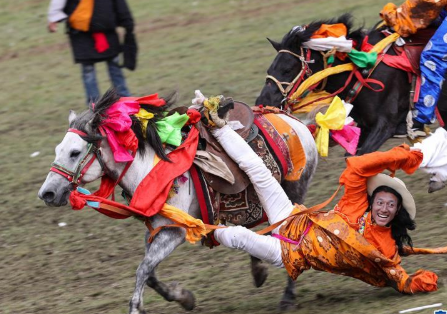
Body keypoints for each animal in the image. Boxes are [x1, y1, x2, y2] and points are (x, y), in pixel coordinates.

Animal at [37, 89, 318, 312]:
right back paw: (258, 271)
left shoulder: (175, 233)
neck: (150, 171)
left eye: (75, 152)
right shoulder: (156, 229)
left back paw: (286, 296)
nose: (47, 193)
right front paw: (184, 298)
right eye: (58, 150)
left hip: (293, 192)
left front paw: (138, 307)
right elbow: (150, 273)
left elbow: (142, 270)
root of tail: (299, 123)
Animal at [258, 14, 414, 155]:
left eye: (287, 69)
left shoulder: (385, 125)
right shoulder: (365, 128)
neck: (363, 70)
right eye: (269, 70)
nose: (263, 101)